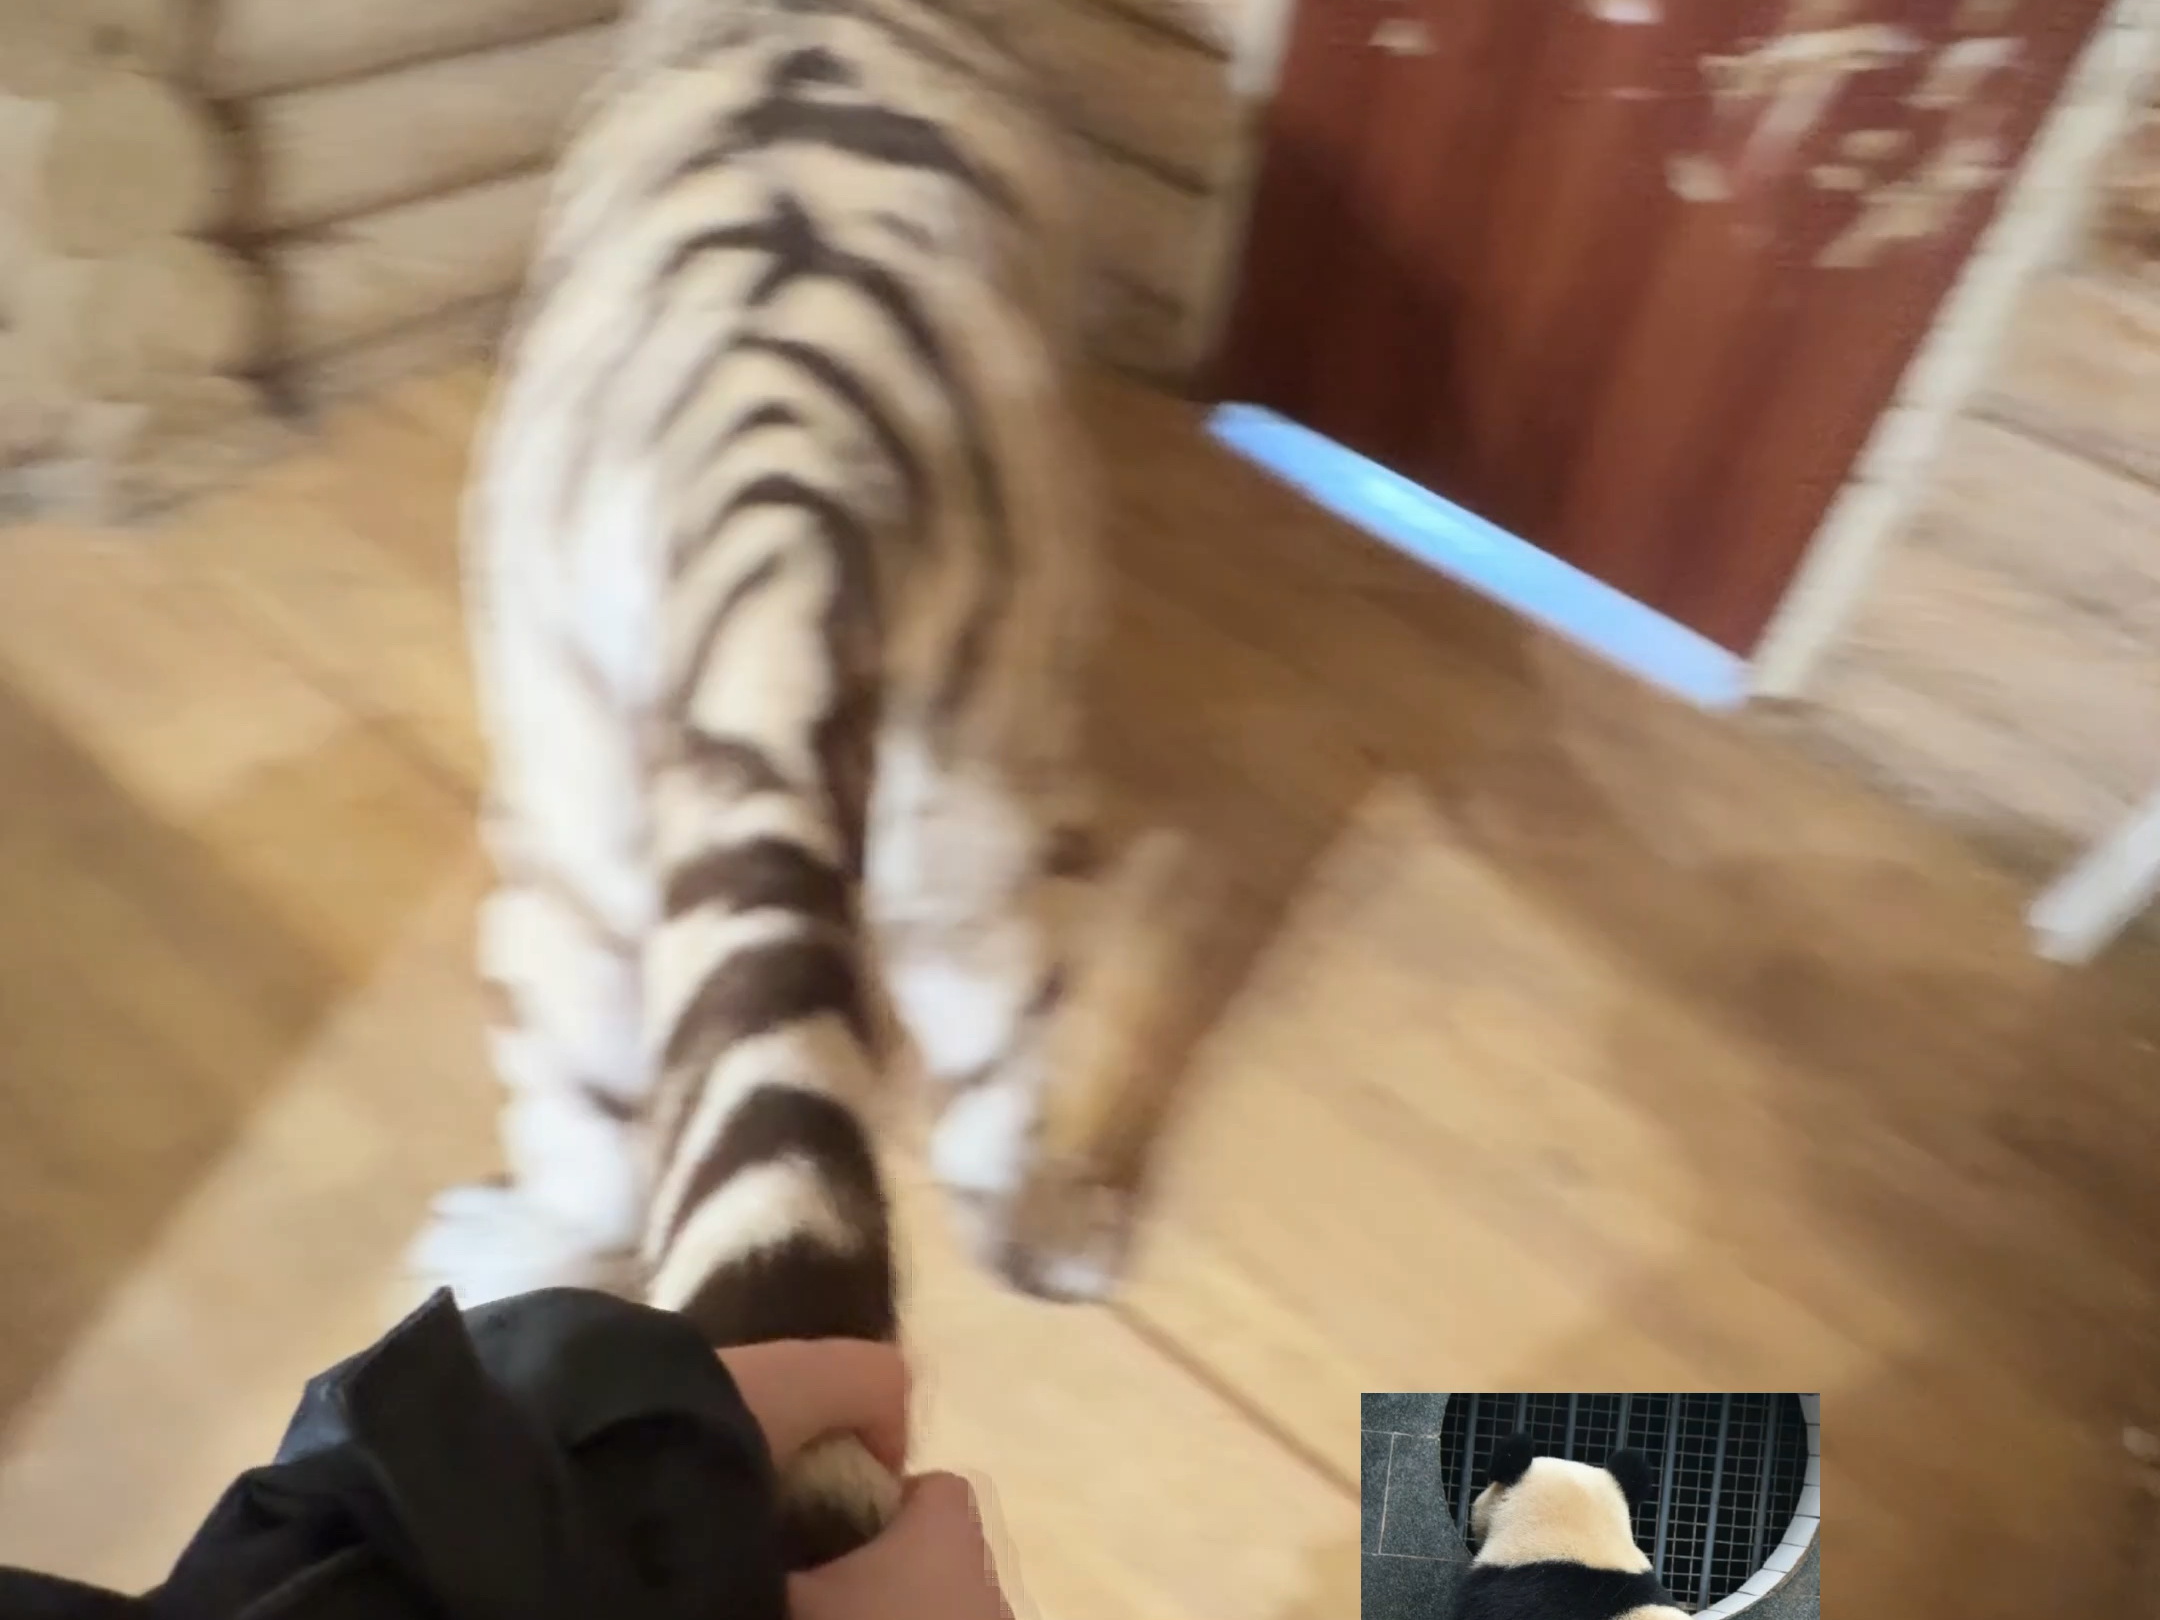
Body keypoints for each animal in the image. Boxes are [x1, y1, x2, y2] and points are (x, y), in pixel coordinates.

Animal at [402, 0, 1171, 1575]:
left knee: (587, 1140)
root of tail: (794, 473)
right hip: (962, 833)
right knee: (996, 1084)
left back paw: (499, 1255)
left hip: (566, 837)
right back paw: (1061, 1229)